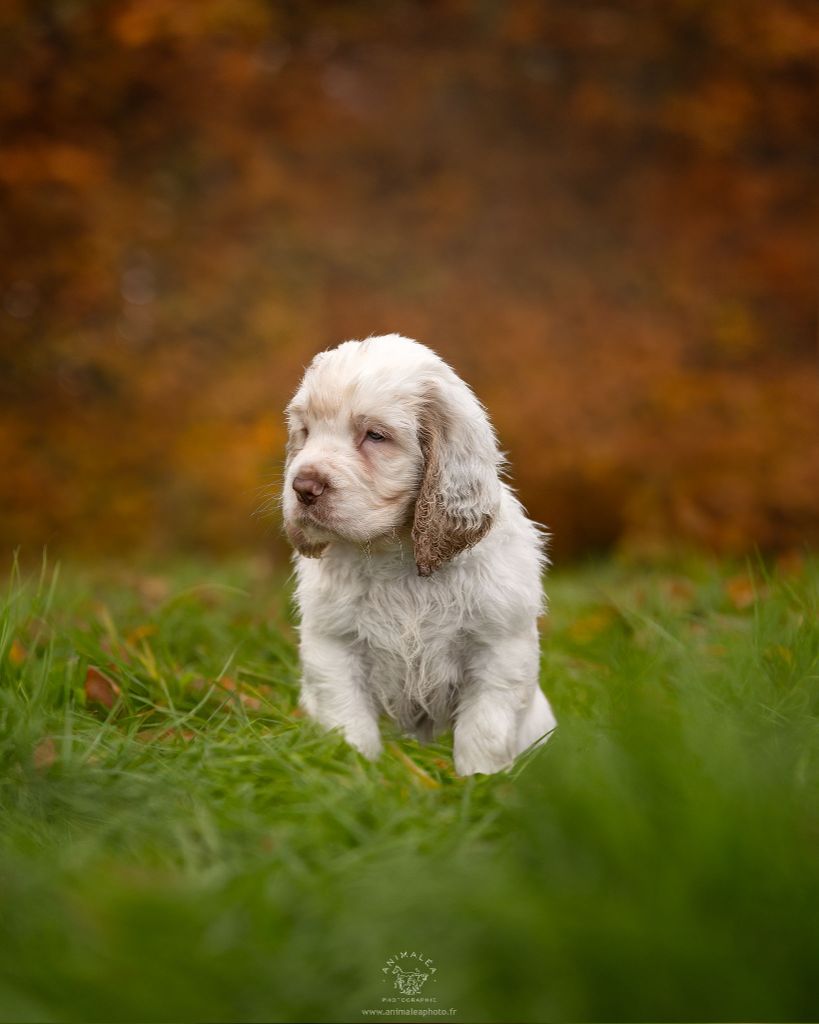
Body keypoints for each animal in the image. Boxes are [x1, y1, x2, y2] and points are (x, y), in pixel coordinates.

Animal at [282, 335, 556, 774]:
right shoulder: (334, 647)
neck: (397, 557)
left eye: (375, 436)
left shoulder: (499, 651)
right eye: (305, 432)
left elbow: (484, 731)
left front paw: (480, 782)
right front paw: (354, 771)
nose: (303, 487)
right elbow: (350, 722)